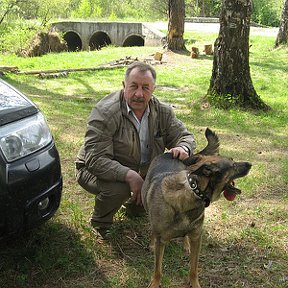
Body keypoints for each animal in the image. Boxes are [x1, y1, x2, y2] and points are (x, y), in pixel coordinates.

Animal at [142, 129, 252, 288]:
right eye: (233, 165)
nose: (250, 164)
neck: (194, 191)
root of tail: (169, 154)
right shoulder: (161, 241)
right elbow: (158, 270)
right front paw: (155, 283)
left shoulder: (196, 238)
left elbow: (193, 268)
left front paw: (194, 283)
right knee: (153, 230)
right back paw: (152, 242)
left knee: (185, 236)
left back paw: (185, 244)